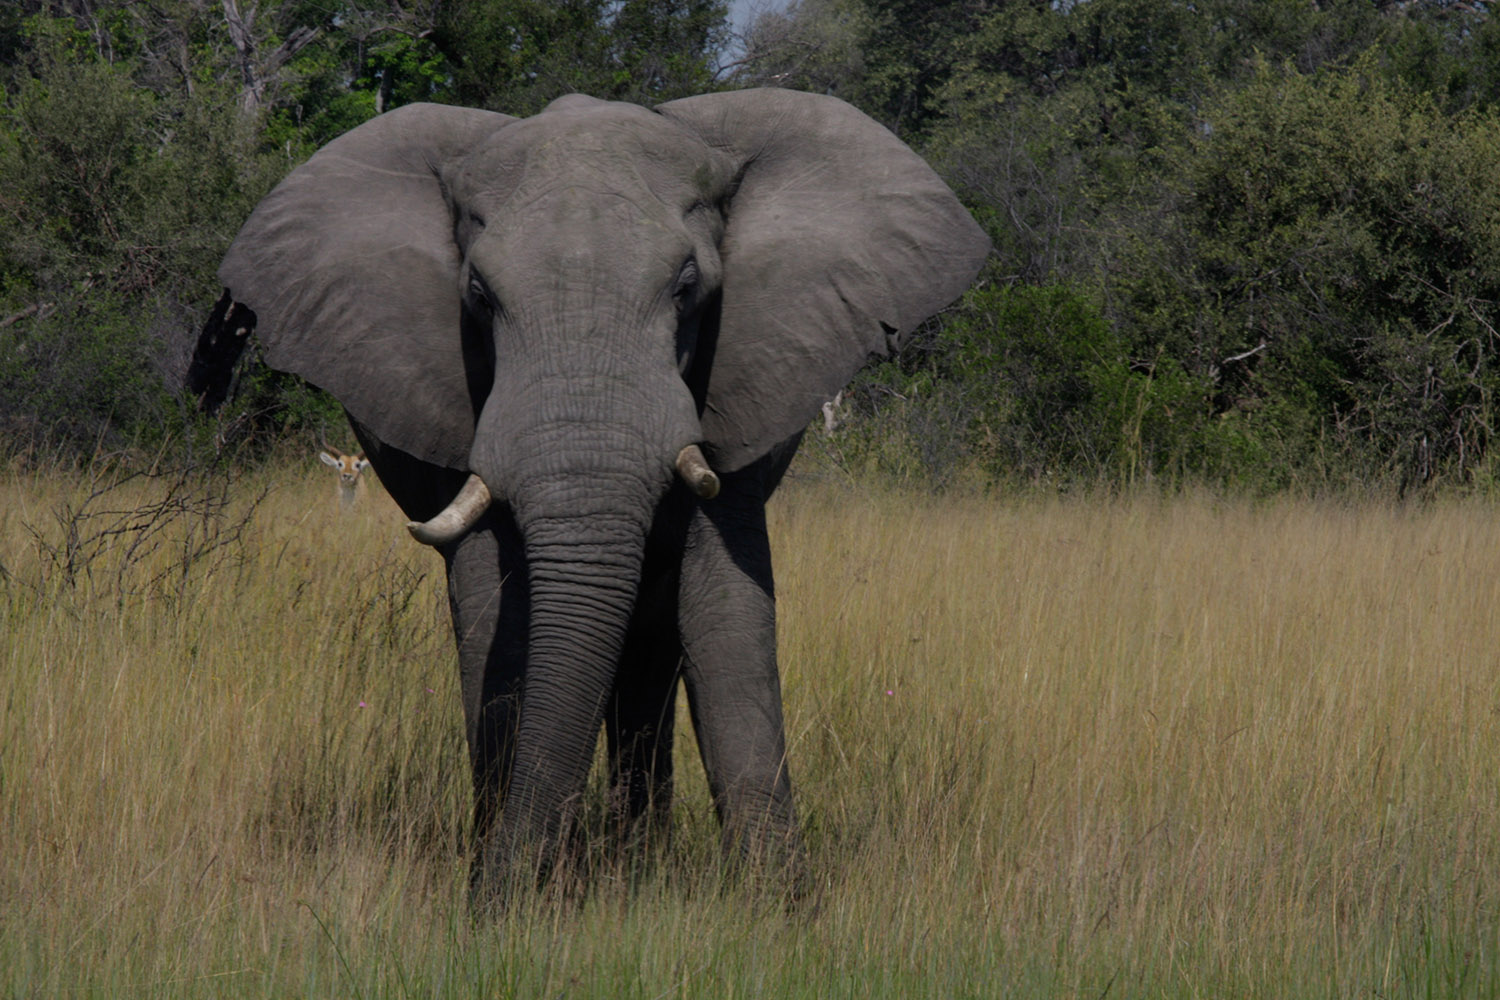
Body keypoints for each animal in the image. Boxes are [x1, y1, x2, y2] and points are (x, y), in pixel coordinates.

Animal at [189, 88, 989, 901]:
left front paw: (779, 906)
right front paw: (524, 889)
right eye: (478, 295)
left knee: (650, 650)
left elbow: (726, 610)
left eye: (688, 288)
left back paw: (639, 859)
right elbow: (498, 619)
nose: (494, 897)